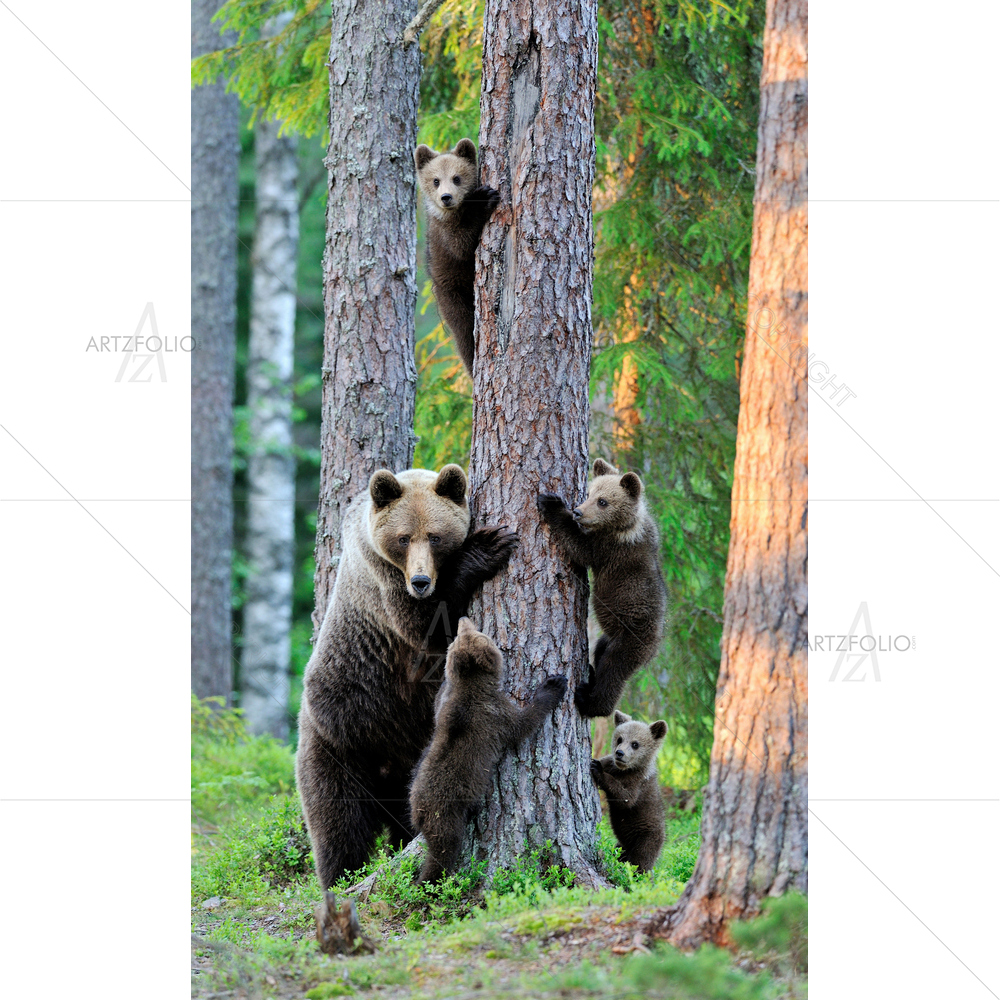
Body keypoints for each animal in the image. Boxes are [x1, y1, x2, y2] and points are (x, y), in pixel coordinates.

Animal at [296, 465, 518, 891]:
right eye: (403, 538)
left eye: (434, 535)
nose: (420, 581)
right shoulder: (383, 582)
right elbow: (426, 627)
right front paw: (489, 546)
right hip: (340, 738)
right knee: (338, 822)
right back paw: (339, 879)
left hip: (411, 761)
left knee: (403, 819)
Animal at [409, 617, 568, 883]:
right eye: (482, 634)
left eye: (463, 634)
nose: (463, 619)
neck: (472, 685)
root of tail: (419, 813)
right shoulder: (497, 714)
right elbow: (524, 723)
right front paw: (553, 685)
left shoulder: (445, 705)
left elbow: (438, 702)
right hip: (446, 816)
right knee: (444, 851)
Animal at [414, 138, 500, 377]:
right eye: (435, 180)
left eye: (457, 177)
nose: (446, 197)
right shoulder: (445, 235)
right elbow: (461, 245)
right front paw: (483, 199)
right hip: (451, 294)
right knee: (464, 334)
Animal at [537, 459, 666, 718]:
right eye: (590, 493)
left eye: (603, 501)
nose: (578, 511)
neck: (625, 526)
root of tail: (655, 645)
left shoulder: (610, 549)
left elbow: (580, 547)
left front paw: (551, 503)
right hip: (610, 637)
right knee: (599, 652)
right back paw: (589, 673)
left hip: (631, 637)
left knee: (614, 671)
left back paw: (590, 701)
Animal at [590, 711, 667, 872]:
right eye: (619, 738)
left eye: (635, 744)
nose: (620, 753)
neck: (625, 770)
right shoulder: (611, 763)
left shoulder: (638, 783)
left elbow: (625, 799)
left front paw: (597, 770)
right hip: (622, 846)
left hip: (646, 838)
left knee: (641, 863)